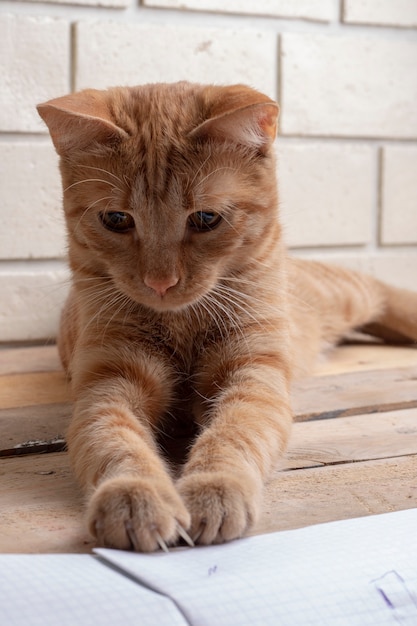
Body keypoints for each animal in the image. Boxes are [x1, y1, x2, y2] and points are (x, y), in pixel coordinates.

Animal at [37, 80, 414, 548]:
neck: (182, 322)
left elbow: (233, 433)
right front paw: (134, 496)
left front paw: (214, 489)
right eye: (116, 219)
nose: (160, 282)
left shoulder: (252, 377)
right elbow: (114, 443)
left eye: (205, 218)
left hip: (345, 295)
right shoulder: (108, 385)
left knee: (386, 293)